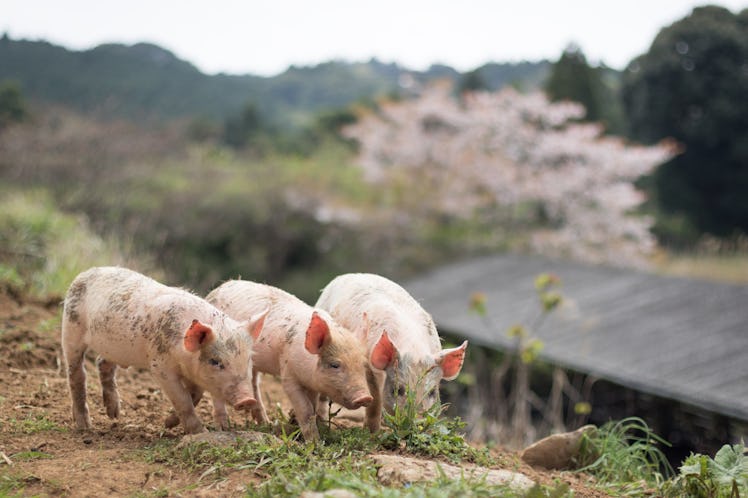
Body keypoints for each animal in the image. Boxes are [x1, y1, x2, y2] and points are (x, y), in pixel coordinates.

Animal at [61, 266, 266, 434]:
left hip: (113, 348)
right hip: (71, 328)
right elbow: (183, 399)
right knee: (76, 373)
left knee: (102, 362)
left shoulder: (194, 374)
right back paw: (85, 427)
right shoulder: (160, 367)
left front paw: (168, 423)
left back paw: (114, 414)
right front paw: (199, 432)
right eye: (215, 361)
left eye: (248, 360)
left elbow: (195, 395)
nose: (248, 399)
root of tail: (85, 273)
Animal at [205, 280, 392, 440]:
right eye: (335, 365)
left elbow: (314, 407)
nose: (365, 397)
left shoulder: (313, 384)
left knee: (253, 383)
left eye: (362, 366)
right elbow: (306, 410)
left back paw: (265, 423)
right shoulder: (288, 374)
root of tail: (220, 287)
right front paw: (314, 442)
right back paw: (224, 428)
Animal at [312, 270, 464, 430]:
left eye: (432, 392)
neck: (414, 349)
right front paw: (371, 432)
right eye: (398, 390)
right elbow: (375, 400)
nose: (417, 423)